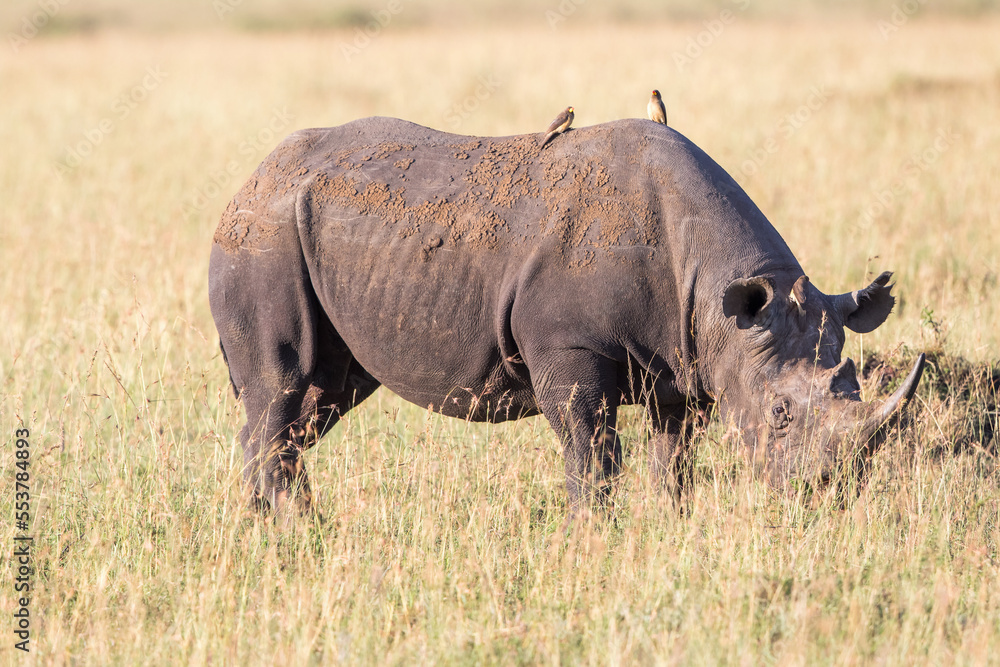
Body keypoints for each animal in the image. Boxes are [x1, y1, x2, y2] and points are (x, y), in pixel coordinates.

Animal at [208, 116, 925, 516]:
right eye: (778, 414)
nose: (823, 493)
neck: (725, 298)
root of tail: (250, 178)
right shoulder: (568, 347)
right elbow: (591, 454)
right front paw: (595, 538)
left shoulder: (690, 359)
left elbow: (673, 460)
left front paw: (669, 526)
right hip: (262, 235)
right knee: (281, 386)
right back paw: (293, 532)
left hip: (312, 233)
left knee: (318, 398)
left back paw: (274, 528)